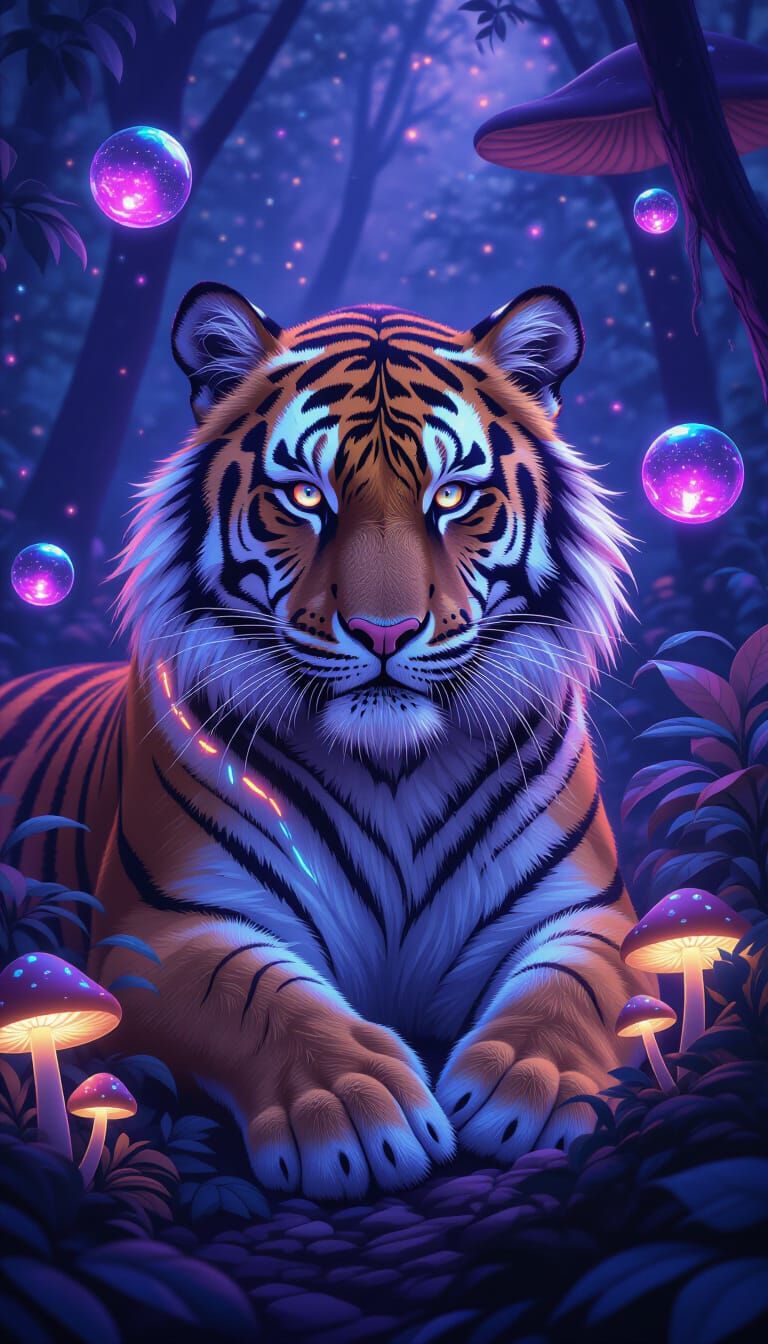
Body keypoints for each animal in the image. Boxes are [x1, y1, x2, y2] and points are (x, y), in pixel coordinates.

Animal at [0, 283, 651, 1199]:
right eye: (306, 498)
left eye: (452, 497)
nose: (385, 631)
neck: (393, 767)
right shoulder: (159, 931)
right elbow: (257, 994)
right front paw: (352, 1106)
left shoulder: (588, 912)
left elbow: (572, 987)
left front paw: (538, 1086)